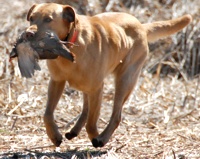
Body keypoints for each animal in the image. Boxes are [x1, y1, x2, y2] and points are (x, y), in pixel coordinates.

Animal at [25, 2, 192, 147]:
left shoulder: (97, 88)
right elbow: (47, 115)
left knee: (116, 116)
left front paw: (95, 137)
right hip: (90, 85)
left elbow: (92, 123)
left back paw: (102, 138)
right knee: (86, 109)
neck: (70, 44)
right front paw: (54, 136)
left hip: (125, 81)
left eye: (48, 19)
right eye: (32, 18)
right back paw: (75, 131)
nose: (28, 34)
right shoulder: (57, 81)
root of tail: (141, 26)